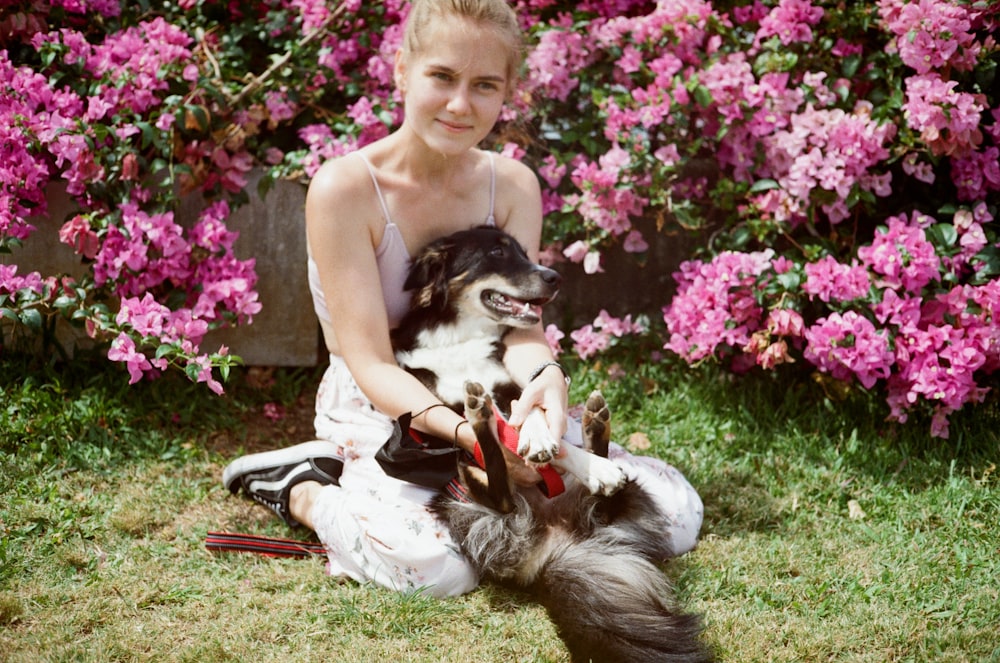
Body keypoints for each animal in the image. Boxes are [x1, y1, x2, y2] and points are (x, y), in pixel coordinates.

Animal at [390, 228, 712, 663]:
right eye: (496, 252)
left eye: (523, 251)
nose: (554, 277)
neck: (458, 338)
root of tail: (556, 549)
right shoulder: (434, 396)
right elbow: (506, 433)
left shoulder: (513, 389)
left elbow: (537, 419)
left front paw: (563, 451)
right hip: (465, 507)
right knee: (495, 486)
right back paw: (483, 419)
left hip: (618, 498)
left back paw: (594, 435)